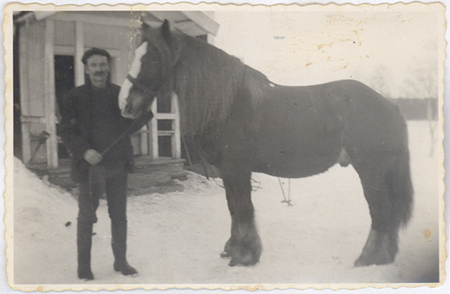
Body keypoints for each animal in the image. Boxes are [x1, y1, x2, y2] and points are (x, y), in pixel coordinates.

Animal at [118, 20, 414, 268]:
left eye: (154, 56)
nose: (125, 104)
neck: (228, 103)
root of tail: (390, 105)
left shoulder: (236, 168)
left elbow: (243, 208)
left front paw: (245, 255)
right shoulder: (228, 171)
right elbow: (233, 207)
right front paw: (233, 249)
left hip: (370, 172)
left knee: (380, 211)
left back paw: (368, 258)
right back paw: (385, 256)